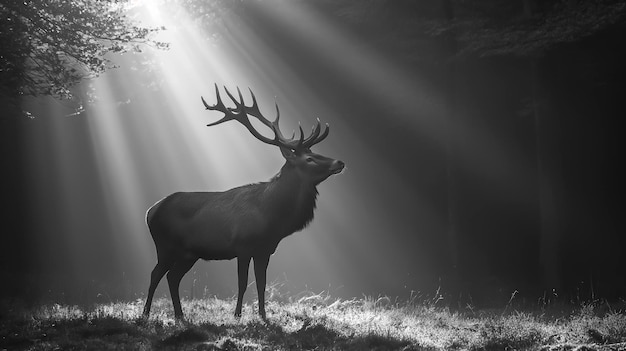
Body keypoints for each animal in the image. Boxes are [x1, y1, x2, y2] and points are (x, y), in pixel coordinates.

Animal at [141, 85, 344, 322]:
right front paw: (237, 315)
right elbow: (243, 283)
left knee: (173, 277)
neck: (272, 217)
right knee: (156, 274)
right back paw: (146, 314)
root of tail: (150, 211)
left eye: (313, 152)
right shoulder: (243, 245)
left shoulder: (265, 249)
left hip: (188, 253)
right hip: (165, 245)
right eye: (309, 159)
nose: (339, 162)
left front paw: (264, 316)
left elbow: (262, 284)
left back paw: (180, 316)